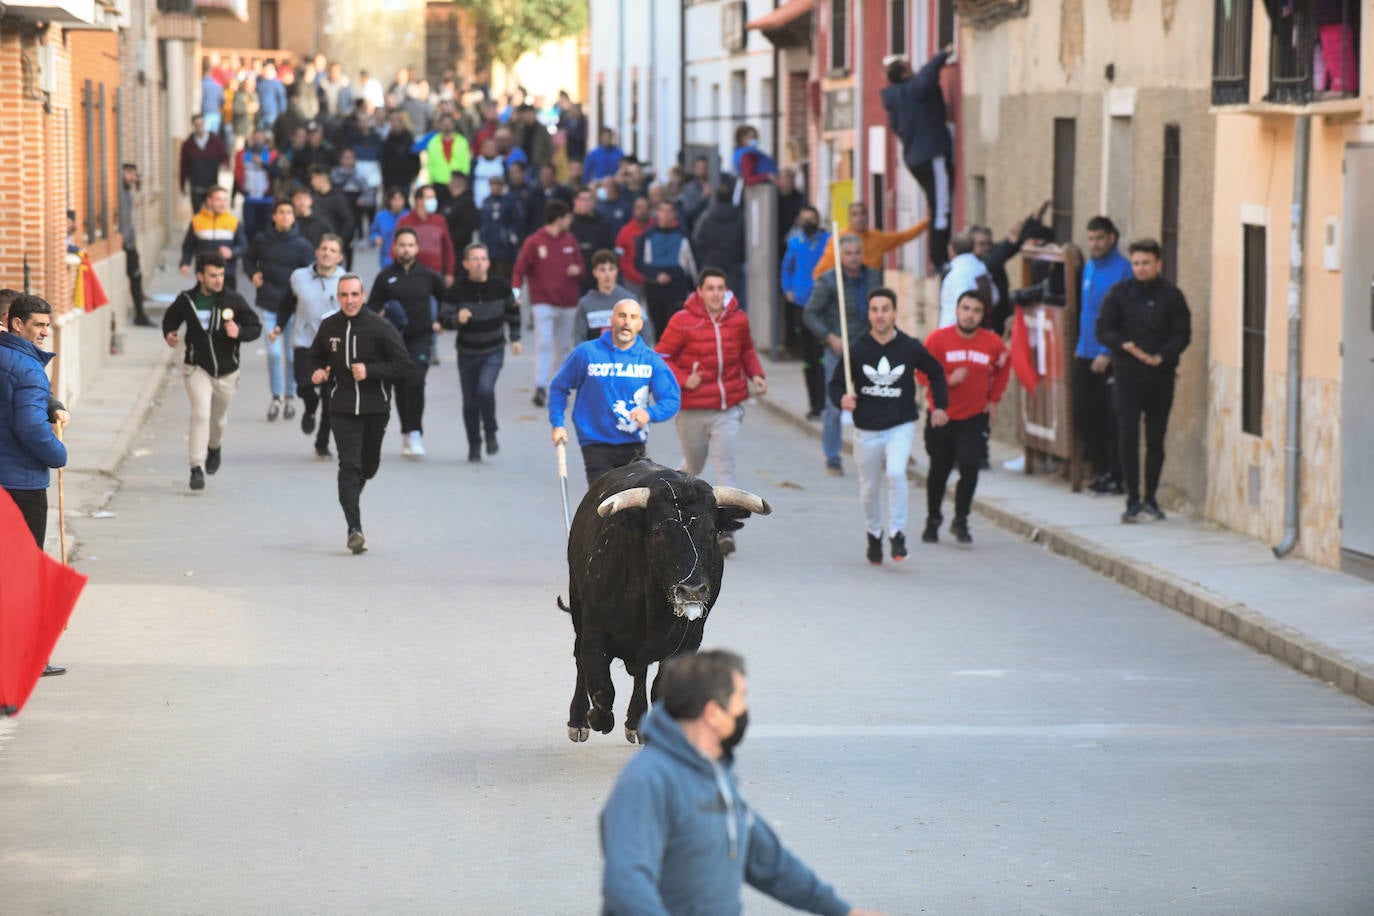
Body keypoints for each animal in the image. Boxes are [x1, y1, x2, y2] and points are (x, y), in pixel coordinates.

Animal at [557, 461, 774, 741]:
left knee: (641, 673)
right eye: (659, 531)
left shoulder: (689, 641)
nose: (691, 589)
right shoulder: (595, 632)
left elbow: (660, 689)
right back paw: (579, 720)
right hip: (578, 605)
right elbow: (602, 688)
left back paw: (636, 722)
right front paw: (597, 719)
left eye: (712, 531)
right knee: (581, 659)